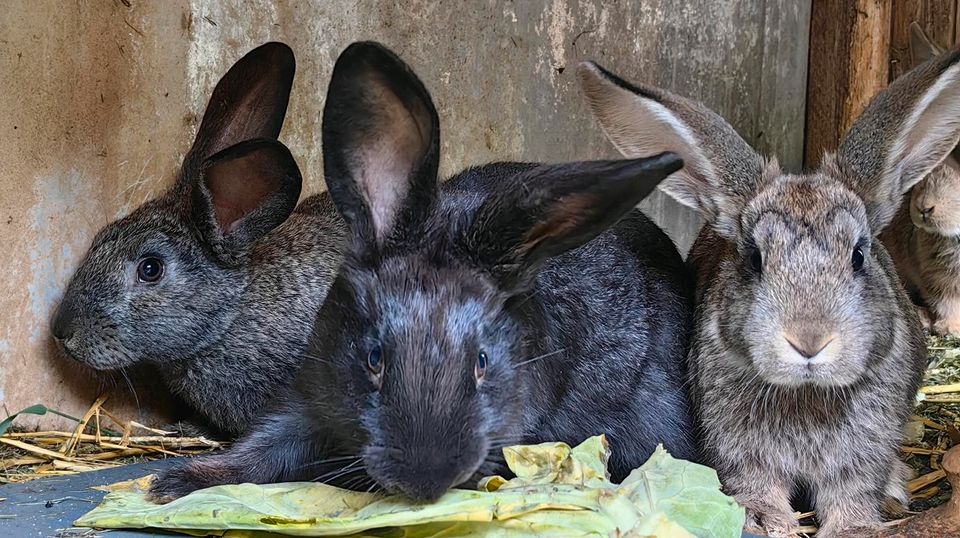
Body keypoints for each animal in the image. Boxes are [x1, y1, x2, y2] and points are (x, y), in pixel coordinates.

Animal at [146, 40, 692, 502]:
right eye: (374, 357)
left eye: (483, 362)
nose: (424, 481)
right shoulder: (306, 400)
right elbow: (262, 450)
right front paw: (175, 483)